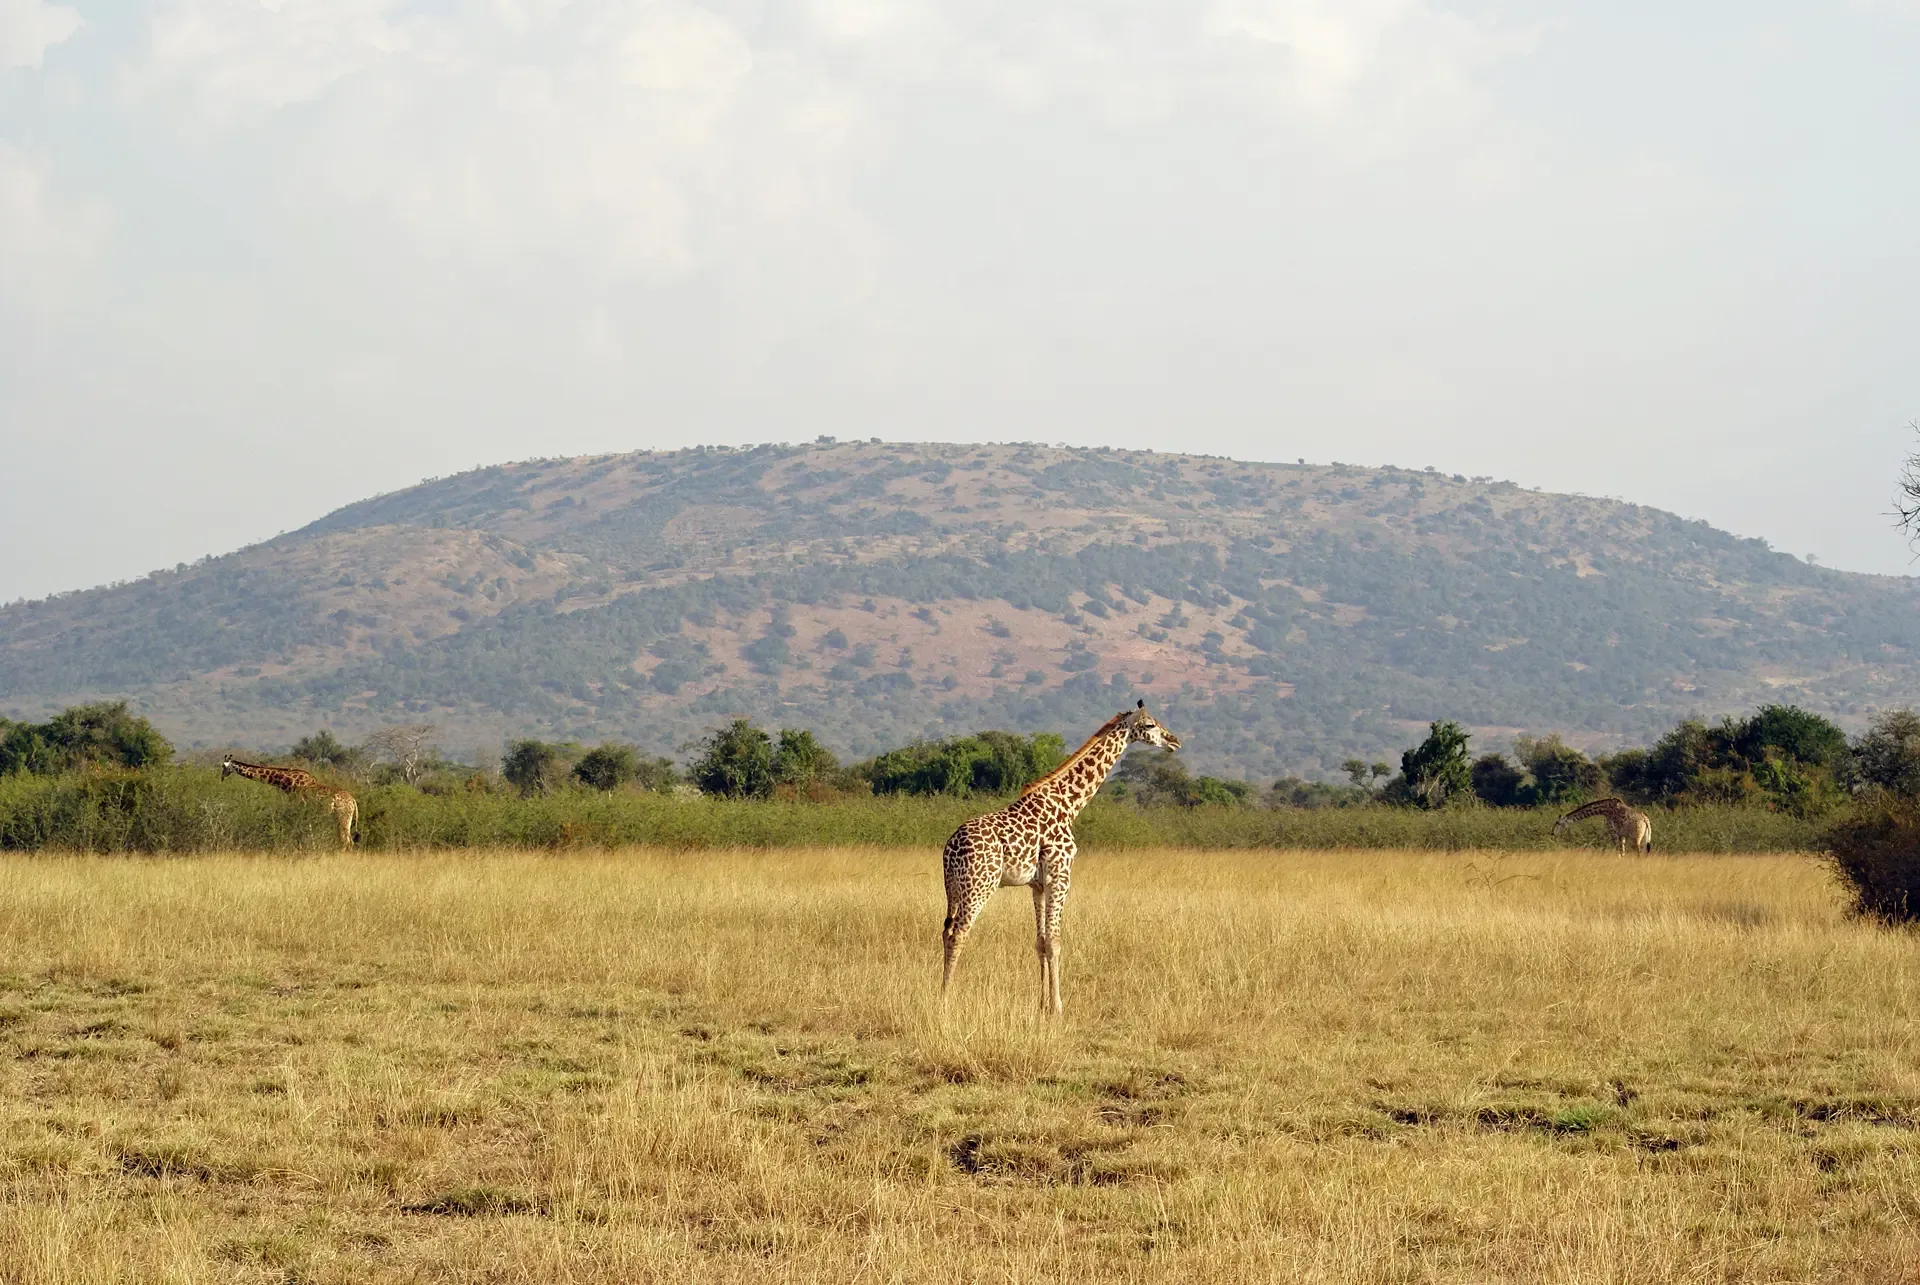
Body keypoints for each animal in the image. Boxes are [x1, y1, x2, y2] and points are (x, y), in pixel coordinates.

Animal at [221, 755, 359, 849]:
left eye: (223, 766)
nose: (222, 777)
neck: (286, 781)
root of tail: (353, 801)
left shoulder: (299, 805)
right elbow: (308, 829)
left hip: (343, 817)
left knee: (346, 841)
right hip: (342, 818)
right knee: (348, 840)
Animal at [940, 701, 1182, 1016]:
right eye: (1150, 725)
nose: (1174, 741)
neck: (1069, 804)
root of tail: (949, 849)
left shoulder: (1038, 885)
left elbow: (1041, 942)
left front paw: (1041, 1003)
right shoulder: (1061, 876)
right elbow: (1055, 941)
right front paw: (1057, 1006)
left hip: (955, 890)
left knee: (946, 931)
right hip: (979, 886)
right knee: (958, 933)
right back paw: (944, 1000)